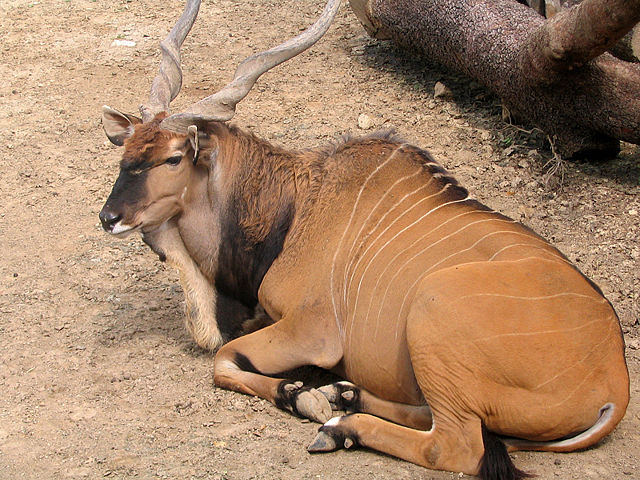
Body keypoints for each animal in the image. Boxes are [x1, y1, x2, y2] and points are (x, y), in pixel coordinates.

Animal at [100, 0, 632, 480]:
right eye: (126, 150)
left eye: (173, 158)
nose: (110, 217)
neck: (295, 205)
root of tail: (615, 385)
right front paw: (314, 394)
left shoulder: (312, 332)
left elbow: (223, 359)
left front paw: (301, 396)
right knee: (431, 416)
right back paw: (345, 396)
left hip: (432, 309)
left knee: (455, 445)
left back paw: (341, 425)